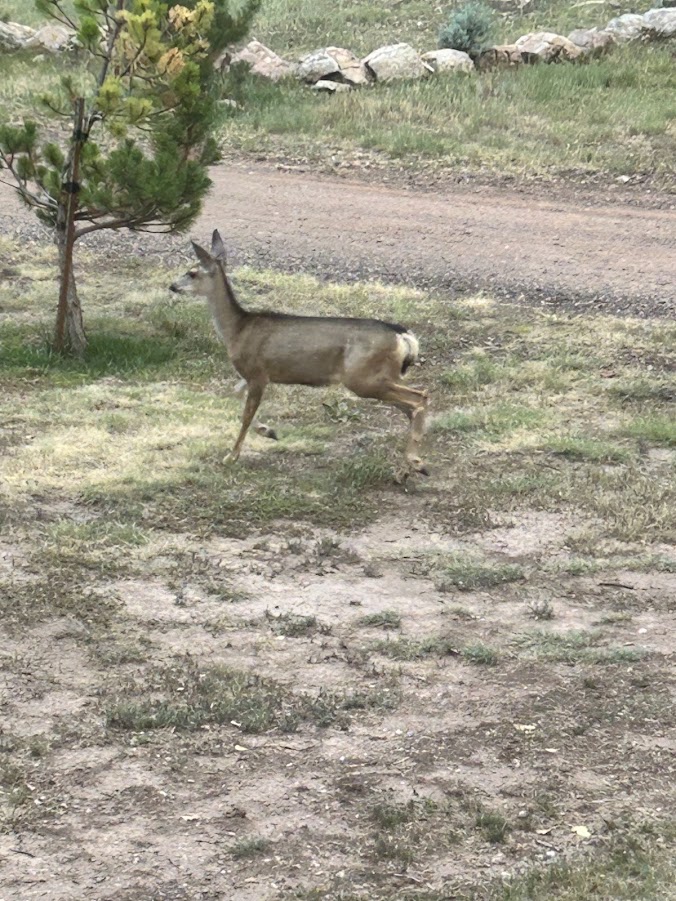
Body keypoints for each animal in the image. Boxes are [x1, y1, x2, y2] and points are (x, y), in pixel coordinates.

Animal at [169, 230, 429, 476]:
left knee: (420, 397)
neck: (238, 330)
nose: (172, 285)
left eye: (192, 273)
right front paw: (268, 431)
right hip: (383, 376)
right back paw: (409, 469)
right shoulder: (250, 375)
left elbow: (245, 415)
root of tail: (402, 335)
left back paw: (416, 462)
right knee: (410, 407)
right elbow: (234, 395)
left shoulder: (258, 372)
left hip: (362, 378)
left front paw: (231, 456)